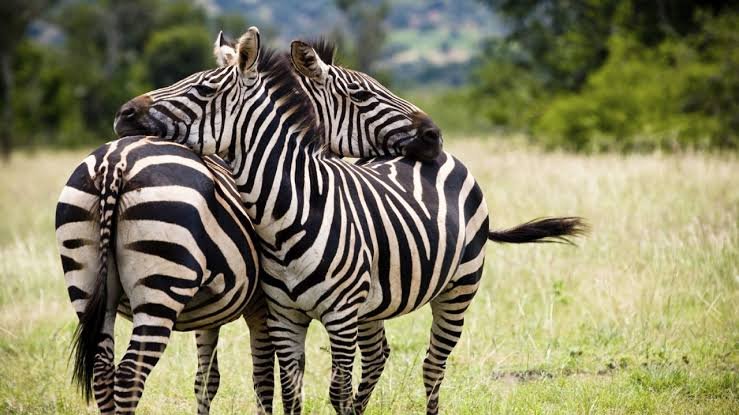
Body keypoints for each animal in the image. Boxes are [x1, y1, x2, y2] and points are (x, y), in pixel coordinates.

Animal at [114, 27, 586, 414]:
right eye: (362, 96)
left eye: (204, 88)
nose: (123, 114)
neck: (289, 213)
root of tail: (452, 159)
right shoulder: (285, 316)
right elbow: (292, 391)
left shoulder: (339, 316)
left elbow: (333, 390)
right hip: (376, 302)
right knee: (381, 357)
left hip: (459, 288)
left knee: (433, 366)